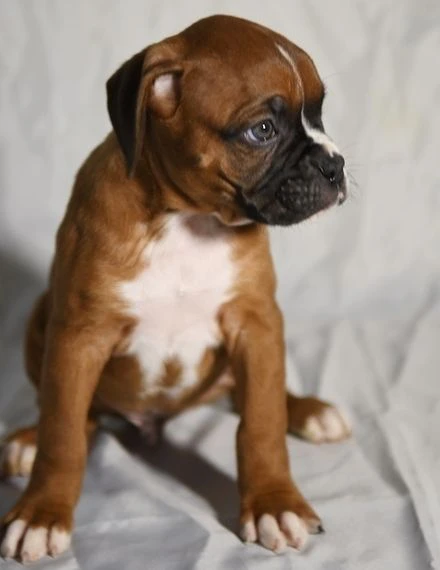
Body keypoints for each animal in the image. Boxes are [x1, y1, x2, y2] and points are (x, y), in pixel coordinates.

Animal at [0, 13, 350, 560]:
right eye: (263, 130)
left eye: (318, 113)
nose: (335, 165)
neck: (187, 219)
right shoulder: (79, 337)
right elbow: (64, 434)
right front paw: (41, 512)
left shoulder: (257, 325)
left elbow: (261, 423)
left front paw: (274, 504)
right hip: (42, 319)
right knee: (79, 415)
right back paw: (27, 438)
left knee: (256, 397)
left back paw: (311, 411)